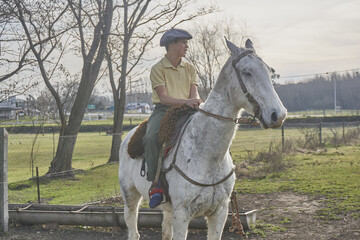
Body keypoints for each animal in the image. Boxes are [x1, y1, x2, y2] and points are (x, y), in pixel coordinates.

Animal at [118, 38, 286, 239]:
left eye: (269, 71)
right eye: (247, 72)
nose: (279, 115)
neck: (208, 155)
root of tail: (128, 137)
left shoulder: (219, 213)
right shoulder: (182, 214)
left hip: (167, 209)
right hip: (130, 197)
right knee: (133, 230)